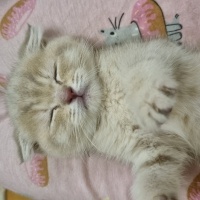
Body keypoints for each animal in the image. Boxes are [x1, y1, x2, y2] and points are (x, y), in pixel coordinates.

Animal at [5, 25, 200, 200]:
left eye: (55, 72)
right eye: (51, 116)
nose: (67, 94)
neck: (106, 98)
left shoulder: (159, 53)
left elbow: (138, 71)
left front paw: (147, 99)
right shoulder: (156, 148)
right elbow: (154, 175)